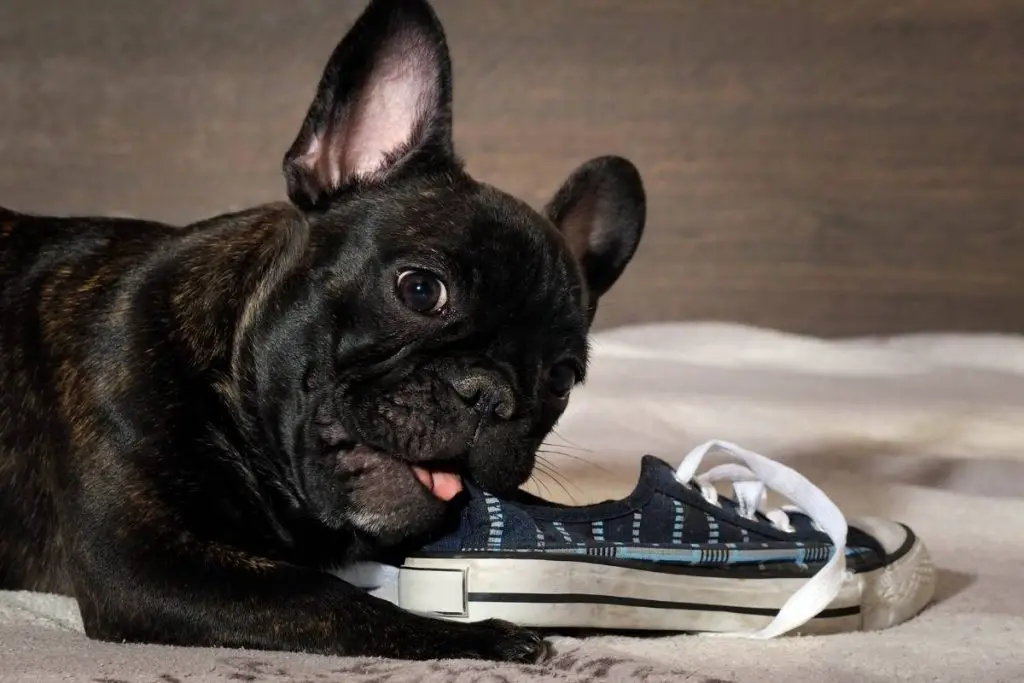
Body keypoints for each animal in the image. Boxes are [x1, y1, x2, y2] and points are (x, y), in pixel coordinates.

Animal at [0, 0, 643, 663]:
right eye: (421, 290)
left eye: (562, 378)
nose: (489, 395)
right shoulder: (141, 562)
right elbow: (328, 600)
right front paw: (487, 636)